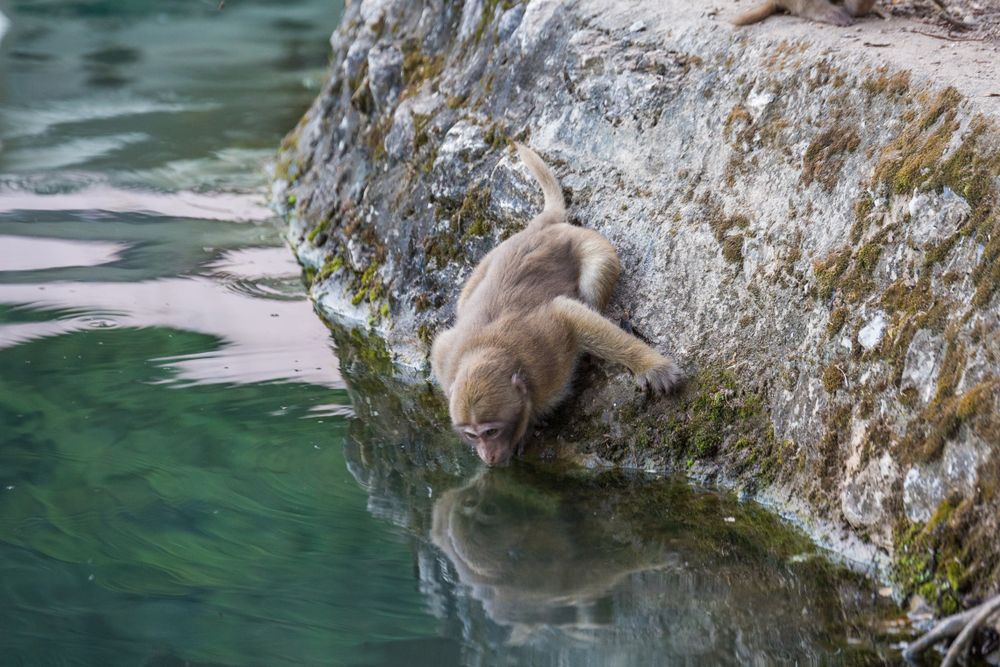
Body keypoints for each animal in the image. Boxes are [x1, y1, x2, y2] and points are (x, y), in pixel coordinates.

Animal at [430, 143, 681, 466]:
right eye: (471, 435)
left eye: (491, 431)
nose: (487, 456)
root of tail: (537, 228)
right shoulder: (446, 360)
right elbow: (440, 343)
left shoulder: (547, 352)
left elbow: (571, 314)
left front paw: (652, 366)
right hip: (486, 261)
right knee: (464, 302)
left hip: (582, 240)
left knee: (596, 274)